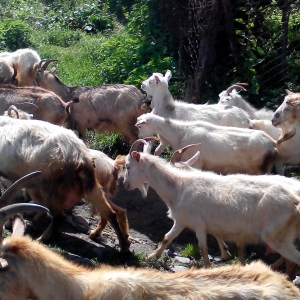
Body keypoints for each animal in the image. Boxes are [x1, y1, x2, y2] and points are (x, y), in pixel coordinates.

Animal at [0, 117, 130, 253]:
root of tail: (81, 157)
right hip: (91, 187)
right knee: (111, 213)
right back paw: (122, 246)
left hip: (50, 187)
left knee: (58, 215)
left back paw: (42, 238)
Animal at [123, 139, 300, 268]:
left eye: (128, 166)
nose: (125, 184)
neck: (178, 187)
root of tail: (296, 201)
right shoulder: (182, 220)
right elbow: (167, 237)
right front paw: (152, 256)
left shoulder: (199, 224)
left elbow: (203, 247)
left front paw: (208, 267)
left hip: (277, 237)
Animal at [136, 112, 276, 173]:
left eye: (140, 126)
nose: (139, 138)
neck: (179, 134)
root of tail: (272, 144)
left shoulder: (196, 164)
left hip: (258, 169)